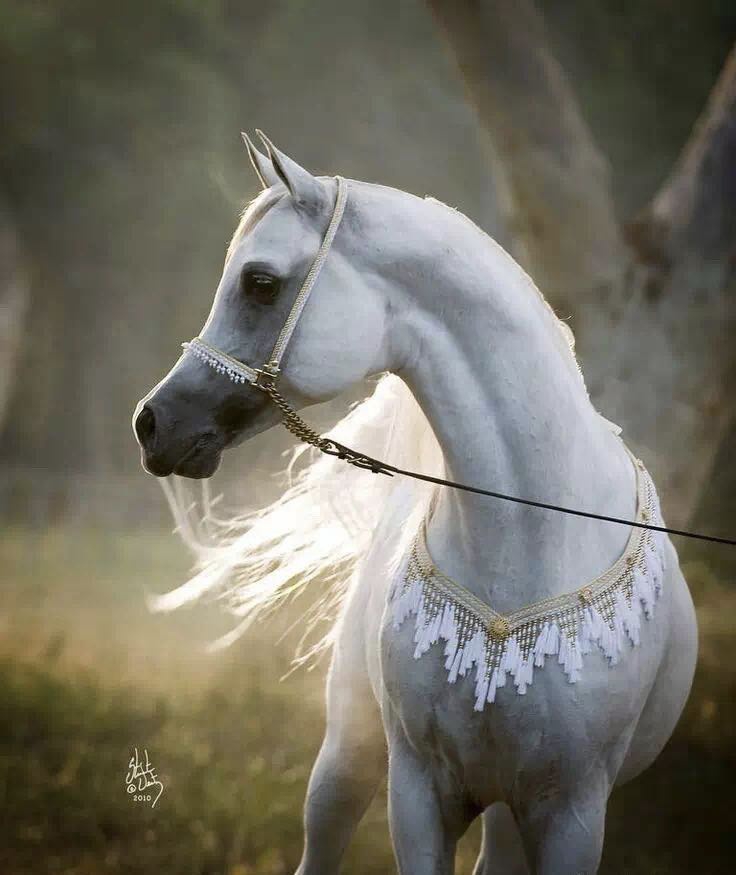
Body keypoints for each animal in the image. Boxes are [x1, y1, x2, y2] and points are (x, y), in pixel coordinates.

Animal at [133, 133, 697, 874]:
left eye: (259, 282)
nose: (151, 423)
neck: (531, 534)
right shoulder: (419, 790)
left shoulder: (573, 812)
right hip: (349, 754)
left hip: (511, 811)